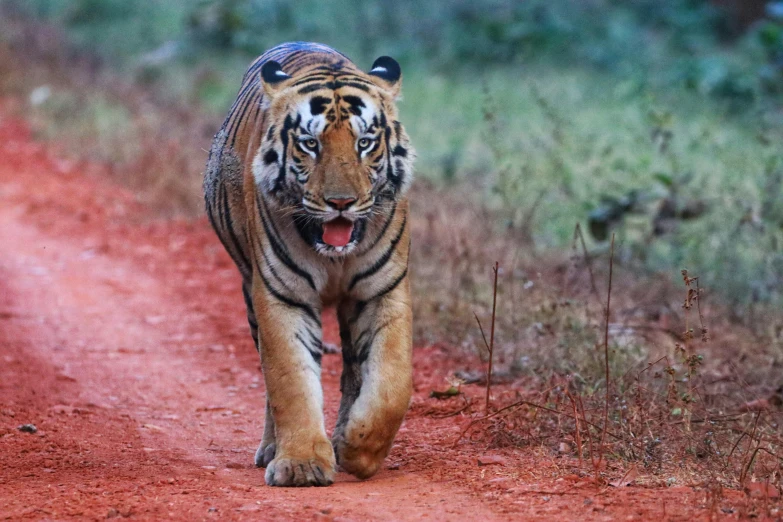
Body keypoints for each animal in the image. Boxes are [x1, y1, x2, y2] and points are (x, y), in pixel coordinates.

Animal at [205, 42, 416, 486]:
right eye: (310, 143)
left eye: (365, 142)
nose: (341, 202)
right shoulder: (283, 296)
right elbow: (290, 380)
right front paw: (301, 464)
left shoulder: (382, 291)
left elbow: (392, 383)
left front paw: (358, 450)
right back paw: (273, 448)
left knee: (354, 371)